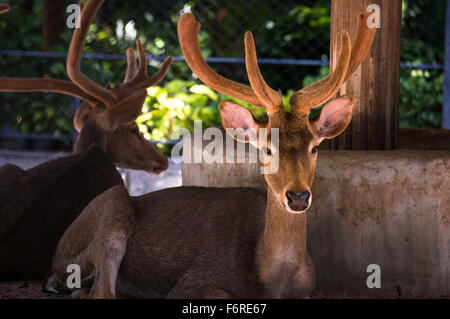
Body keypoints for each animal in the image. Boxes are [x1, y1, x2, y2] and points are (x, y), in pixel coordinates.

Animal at [46, 10, 376, 300]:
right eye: (267, 148)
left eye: (315, 147)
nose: (297, 197)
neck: (271, 277)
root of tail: (55, 260)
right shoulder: (194, 280)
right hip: (110, 209)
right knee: (102, 289)